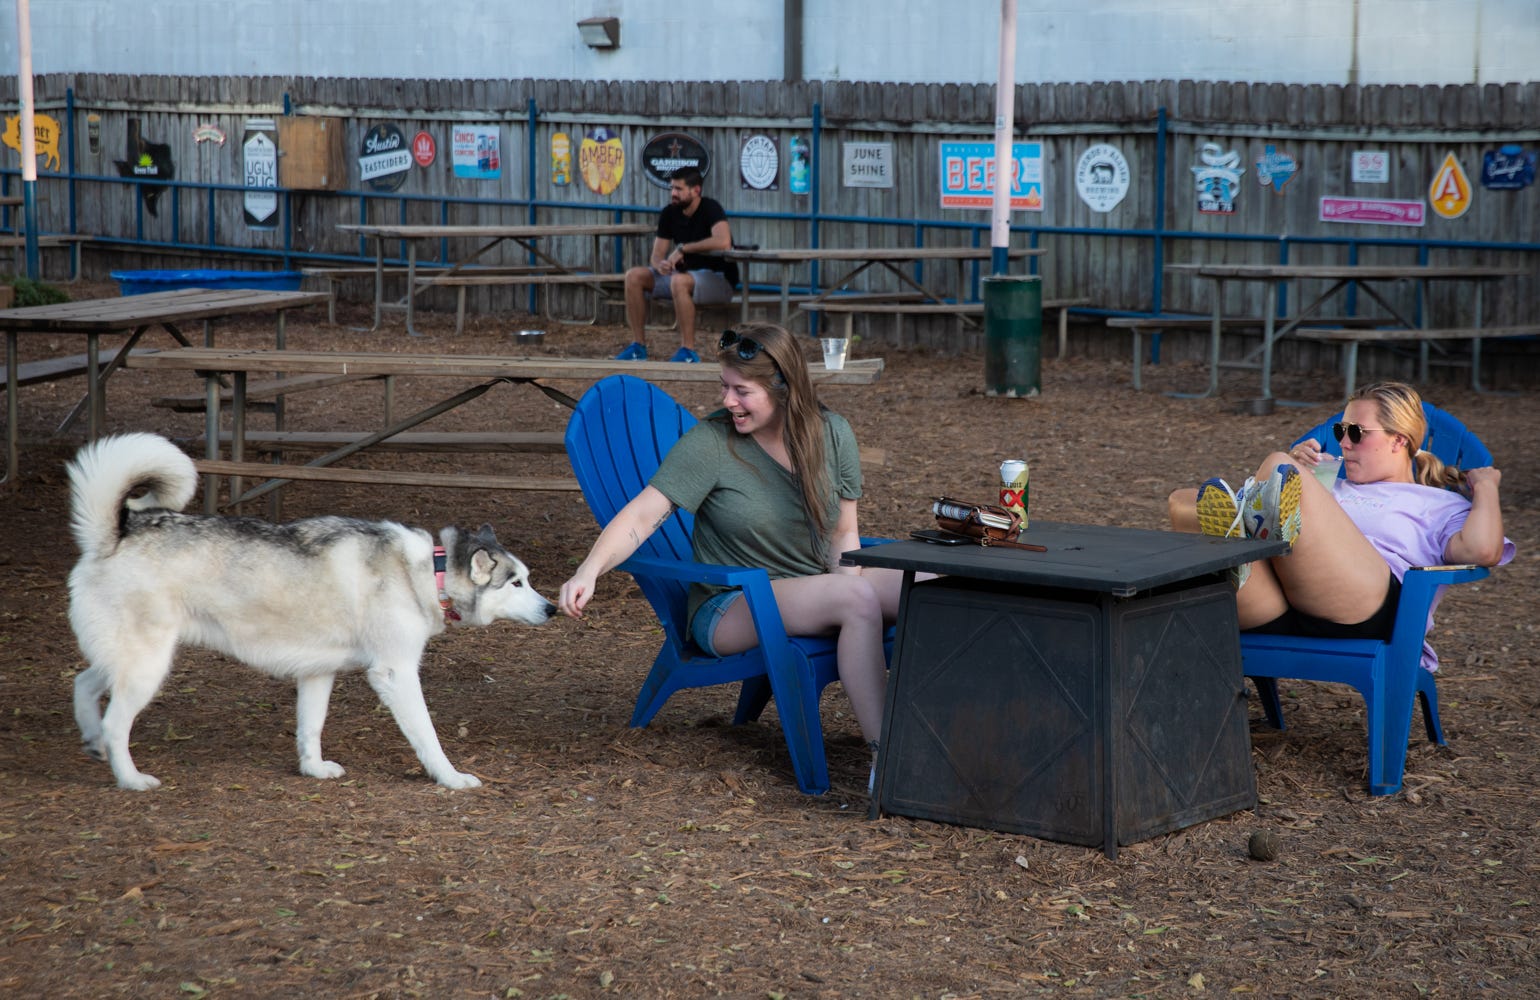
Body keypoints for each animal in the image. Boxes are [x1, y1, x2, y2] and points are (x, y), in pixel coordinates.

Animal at [66, 432, 556, 790]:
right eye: (516, 582)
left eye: (528, 578)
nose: (552, 608)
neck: (424, 572)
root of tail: (116, 534)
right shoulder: (395, 673)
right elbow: (428, 735)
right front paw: (450, 777)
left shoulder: (318, 672)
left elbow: (311, 727)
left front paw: (313, 769)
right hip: (148, 667)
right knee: (115, 722)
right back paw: (130, 777)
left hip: (126, 661)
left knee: (83, 684)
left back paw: (92, 742)